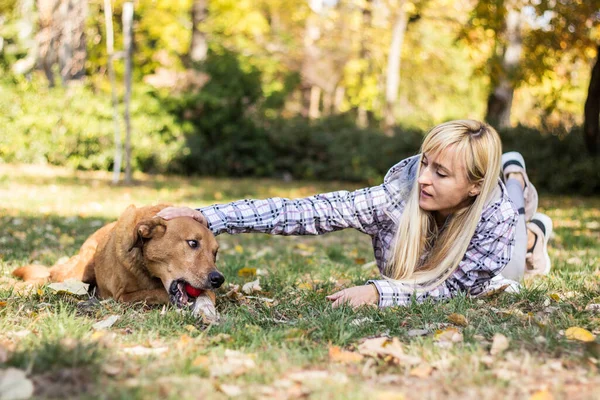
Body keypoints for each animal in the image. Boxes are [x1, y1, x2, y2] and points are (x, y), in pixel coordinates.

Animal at [12, 205, 225, 308]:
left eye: (215, 253)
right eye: (192, 243)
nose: (218, 279)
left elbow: (209, 295)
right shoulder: (122, 295)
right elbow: (159, 293)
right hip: (77, 273)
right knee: (48, 276)